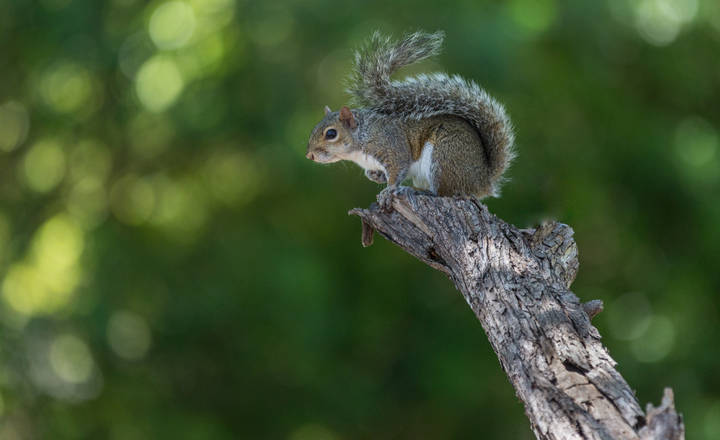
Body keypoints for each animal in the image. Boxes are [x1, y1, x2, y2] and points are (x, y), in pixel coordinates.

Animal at [306, 31, 515, 207]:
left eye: (331, 134)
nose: (310, 156)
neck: (362, 139)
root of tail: (483, 181)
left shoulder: (392, 147)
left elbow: (398, 170)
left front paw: (388, 190)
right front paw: (375, 176)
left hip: (444, 158)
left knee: (444, 193)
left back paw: (417, 191)